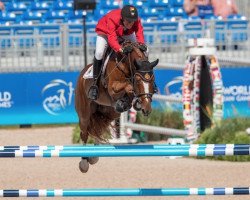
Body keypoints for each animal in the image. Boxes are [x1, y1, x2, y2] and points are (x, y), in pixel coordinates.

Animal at [75, 40, 159, 172]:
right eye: (138, 80)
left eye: (152, 80)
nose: (146, 109)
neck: (127, 64)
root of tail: (82, 74)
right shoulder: (113, 88)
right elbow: (128, 86)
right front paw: (131, 96)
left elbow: (129, 90)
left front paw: (133, 102)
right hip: (84, 114)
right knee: (84, 133)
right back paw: (84, 162)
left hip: (110, 112)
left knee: (97, 129)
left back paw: (94, 156)